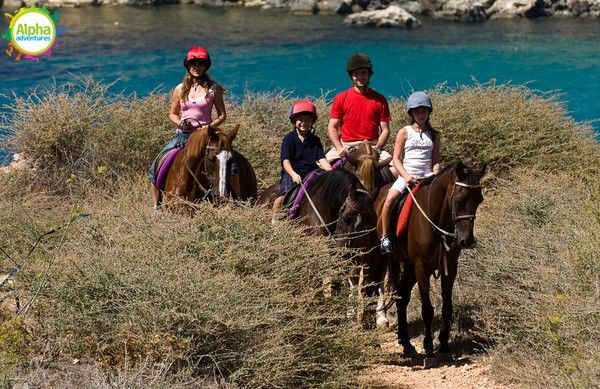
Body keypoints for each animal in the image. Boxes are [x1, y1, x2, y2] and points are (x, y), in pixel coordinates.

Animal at [376, 162, 488, 356]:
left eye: (479, 200)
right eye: (459, 200)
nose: (466, 240)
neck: (437, 222)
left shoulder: (450, 267)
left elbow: (447, 307)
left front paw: (443, 344)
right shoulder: (422, 268)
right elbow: (427, 309)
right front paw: (428, 344)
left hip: (410, 267)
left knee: (402, 295)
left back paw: (406, 343)